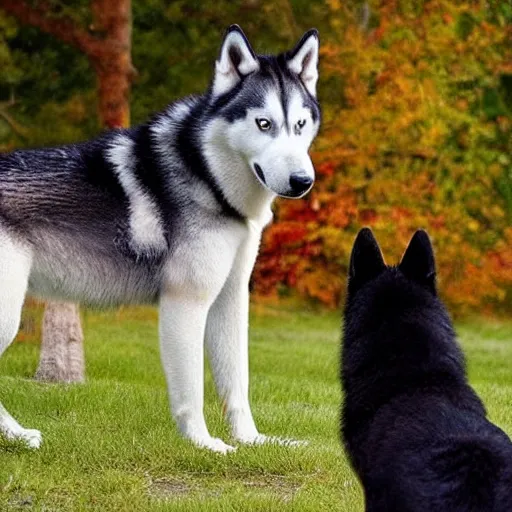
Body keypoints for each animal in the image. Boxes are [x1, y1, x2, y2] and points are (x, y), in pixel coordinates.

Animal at [0, 26, 320, 454]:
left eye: (299, 125)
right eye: (264, 124)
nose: (303, 182)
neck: (206, 174)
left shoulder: (231, 300)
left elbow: (238, 384)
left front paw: (253, 441)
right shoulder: (186, 302)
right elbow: (192, 391)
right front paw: (204, 444)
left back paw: (17, 435)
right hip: (8, 315)